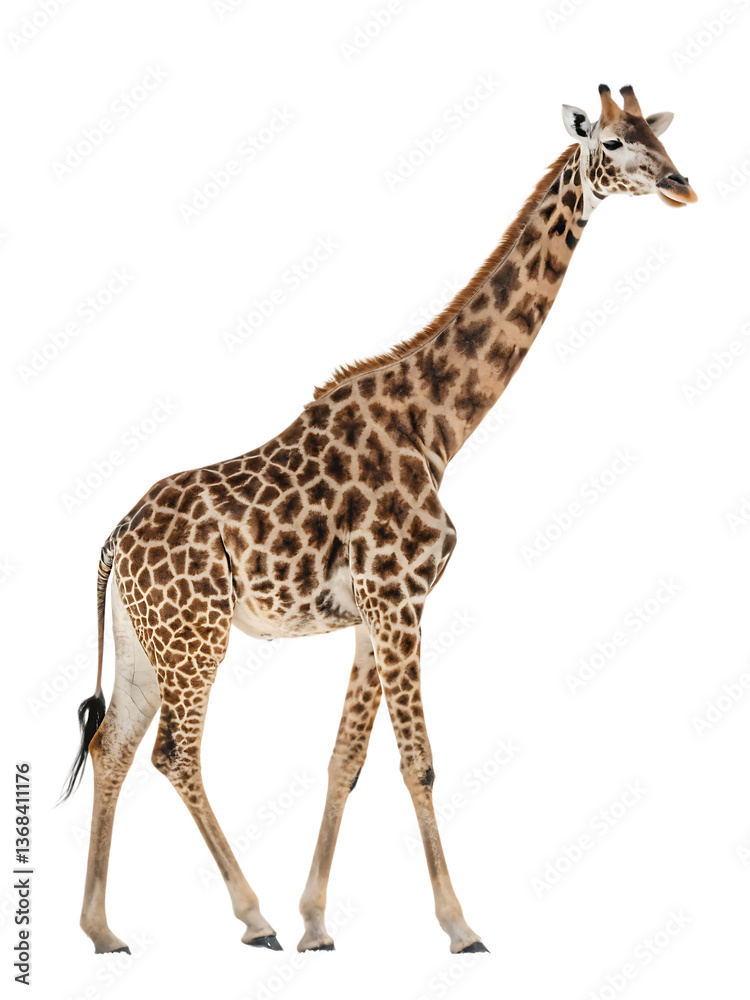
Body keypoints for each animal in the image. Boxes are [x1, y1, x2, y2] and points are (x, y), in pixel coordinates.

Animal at [62, 85, 696, 956]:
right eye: (611, 141)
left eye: (655, 136)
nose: (680, 185)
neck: (439, 425)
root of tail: (112, 541)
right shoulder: (400, 597)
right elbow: (417, 760)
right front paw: (459, 927)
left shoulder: (374, 610)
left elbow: (346, 758)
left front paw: (318, 924)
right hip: (196, 634)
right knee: (175, 752)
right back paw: (250, 917)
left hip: (143, 637)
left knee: (113, 744)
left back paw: (103, 929)